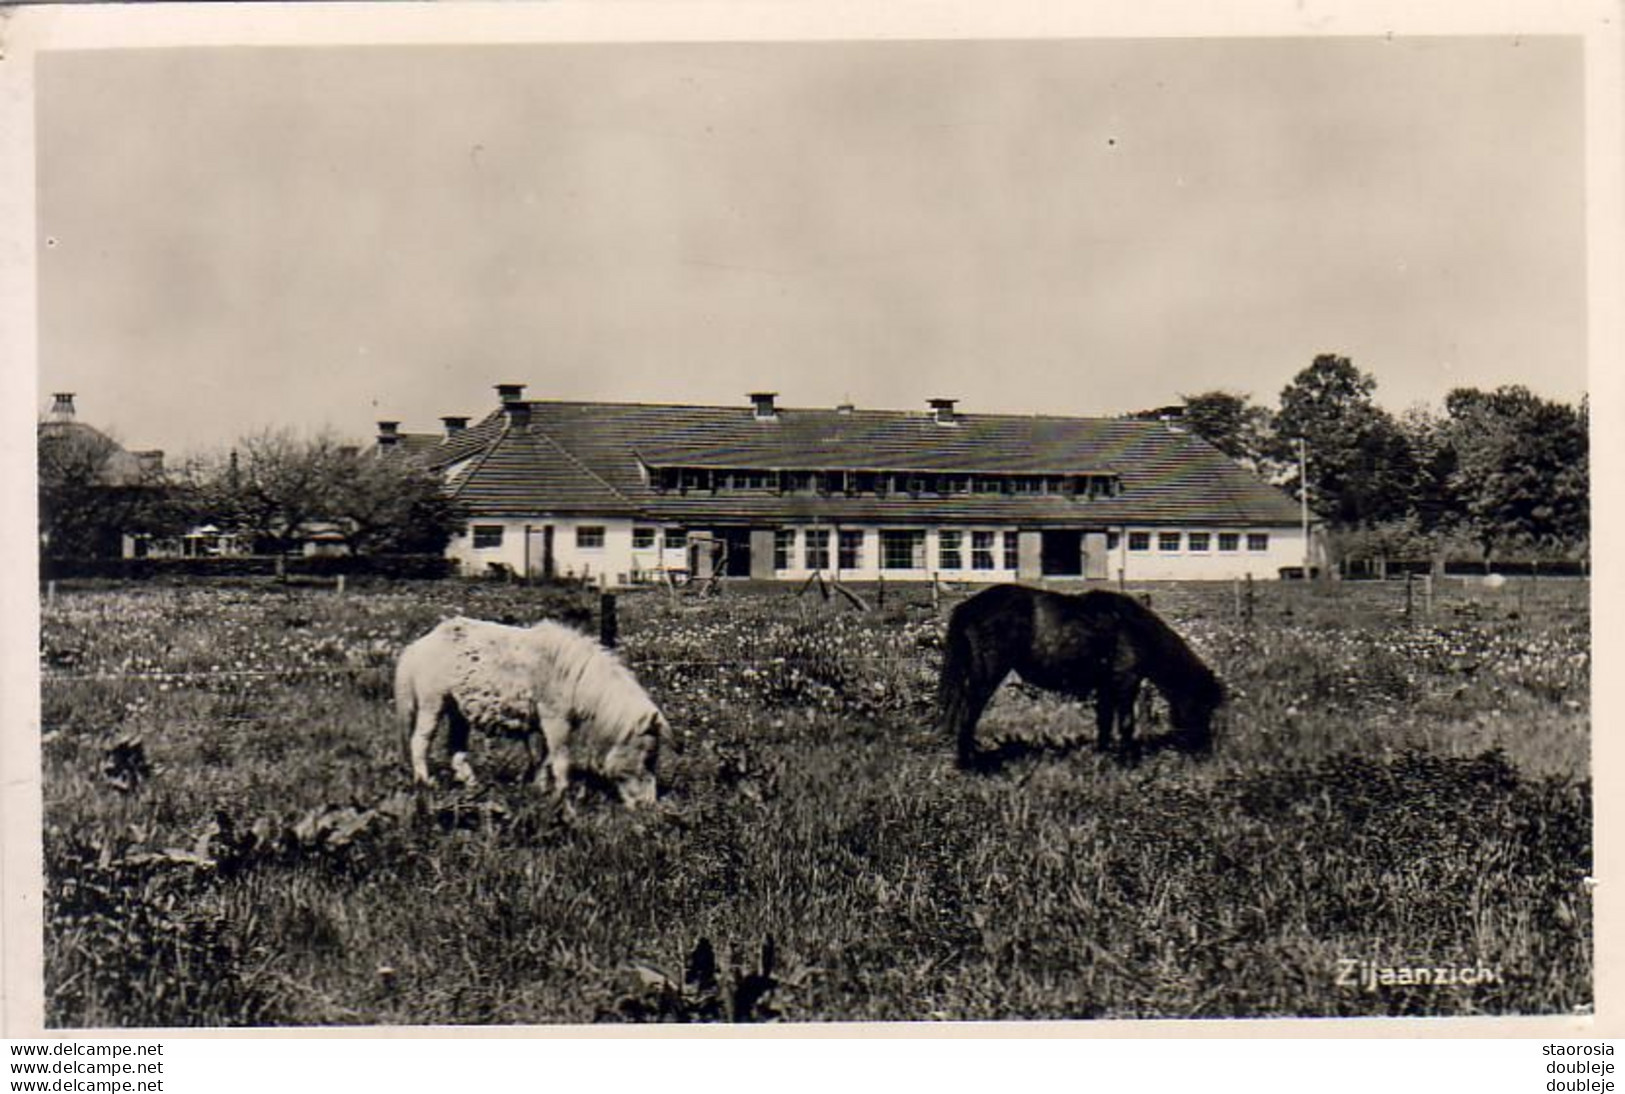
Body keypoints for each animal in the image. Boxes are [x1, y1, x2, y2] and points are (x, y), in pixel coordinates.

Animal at [393, 617, 666, 806]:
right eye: (648, 758)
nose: (648, 806)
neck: (575, 677)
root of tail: (419, 645)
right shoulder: (556, 721)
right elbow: (561, 761)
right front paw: (562, 797)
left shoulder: (549, 725)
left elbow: (545, 759)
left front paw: (542, 790)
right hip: (432, 705)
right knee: (420, 742)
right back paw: (425, 783)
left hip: (458, 712)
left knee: (456, 750)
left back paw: (473, 786)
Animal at [949, 578, 1222, 767]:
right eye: (1203, 706)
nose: (1204, 752)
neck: (1134, 629)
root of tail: (969, 605)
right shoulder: (1126, 683)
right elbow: (1125, 723)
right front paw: (1128, 762)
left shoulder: (1106, 687)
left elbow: (1104, 722)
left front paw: (1103, 758)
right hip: (987, 675)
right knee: (969, 713)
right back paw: (970, 763)